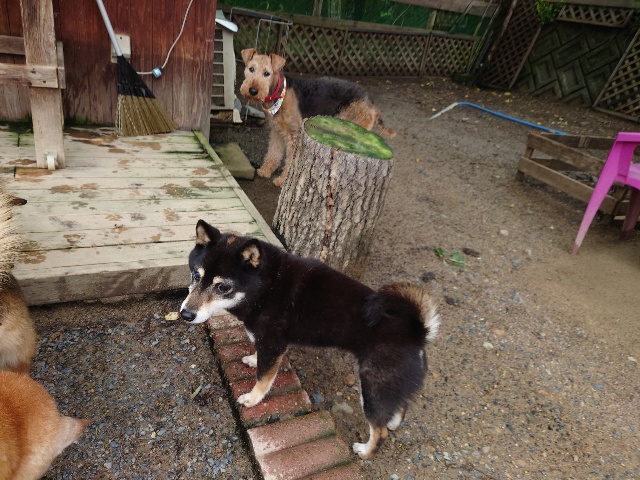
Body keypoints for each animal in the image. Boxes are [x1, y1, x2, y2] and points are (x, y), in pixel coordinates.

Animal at [179, 220, 440, 459]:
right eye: (196, 275)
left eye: (223, 287)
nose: (185, 314)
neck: (266, 287)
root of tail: (417, 332)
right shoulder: (272, 343)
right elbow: (261, 358)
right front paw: (253, 359)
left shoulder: (272, 343)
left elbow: (263, 379)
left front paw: (252, 399)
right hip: (388, 387)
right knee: (400, 406)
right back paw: (393, 422)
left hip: (373, 388)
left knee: (379, 430)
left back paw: (365, 451)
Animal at [239, 48, 396, 187]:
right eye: (251, 69)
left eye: (267, 73)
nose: (252, 91)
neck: (278, 94)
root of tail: (371, 102)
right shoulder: (277, 131)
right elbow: (273, 153)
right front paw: (265, 171)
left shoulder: (294, 136)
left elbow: (290, 162)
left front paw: (282, 181)